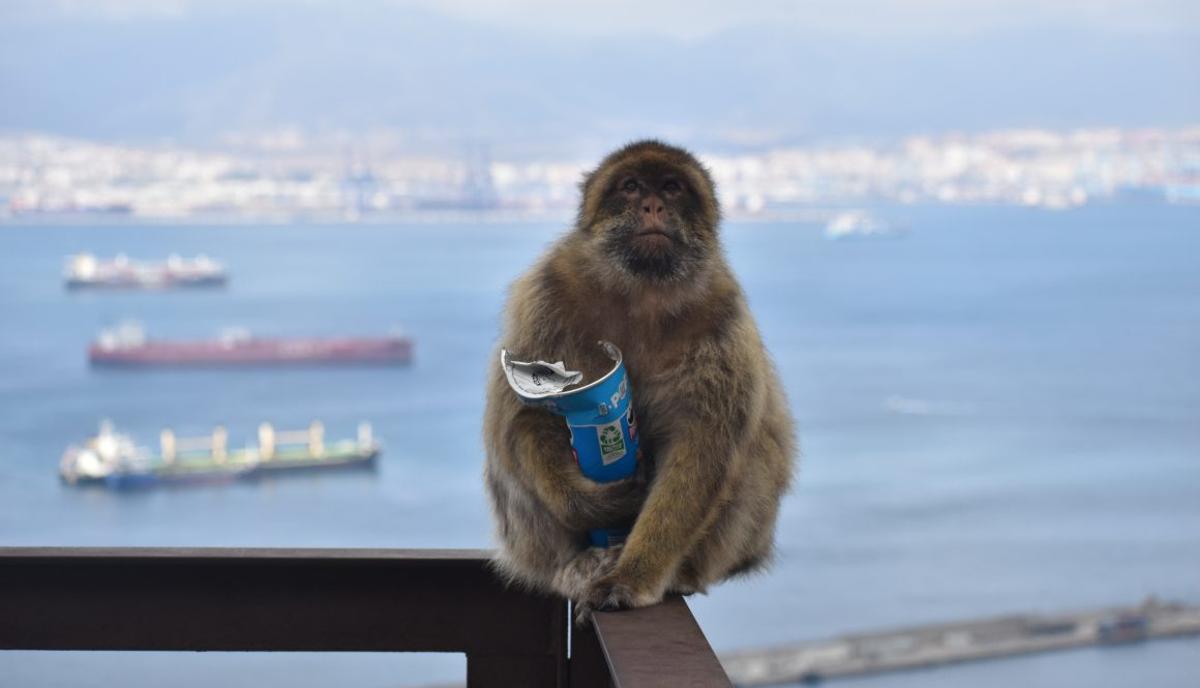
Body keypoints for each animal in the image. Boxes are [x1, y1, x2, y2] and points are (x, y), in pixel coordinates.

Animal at [483, 140, 795, 620]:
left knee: (756, 452)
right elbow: (523, 415)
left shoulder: (723, 318)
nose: (652, 205)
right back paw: (576, 564)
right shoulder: (546, 292)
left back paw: (680, 573)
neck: (642, 292)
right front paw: (596, 504)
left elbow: (703, 446)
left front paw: (633, 577)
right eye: (630, 187)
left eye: (671, 187)